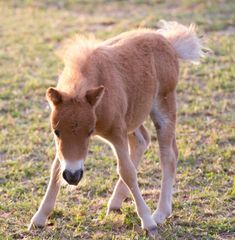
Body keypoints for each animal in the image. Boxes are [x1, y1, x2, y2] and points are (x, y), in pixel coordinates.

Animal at [29, 21, 205, 236]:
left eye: (89, 132)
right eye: (56, 131)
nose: (73, 176)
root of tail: (168, 42)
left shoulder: (117, 133)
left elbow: (127, 171)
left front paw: (148, 222)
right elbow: (56, 168)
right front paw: (39, 218)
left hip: (164, 104)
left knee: (168, 155)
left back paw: (160, 213)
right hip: (132, 116)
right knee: (142, 140)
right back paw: (115, 203)